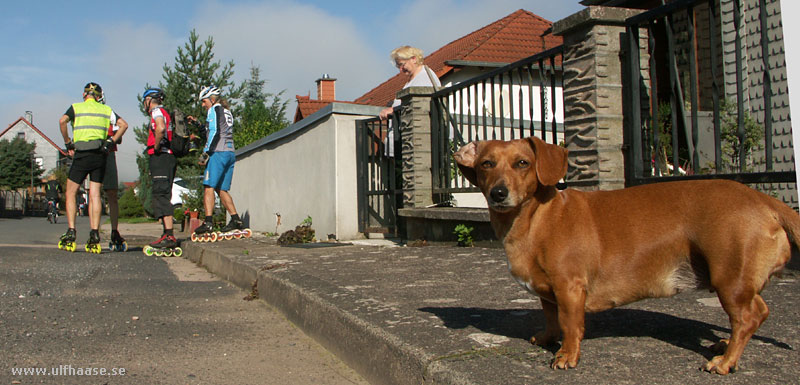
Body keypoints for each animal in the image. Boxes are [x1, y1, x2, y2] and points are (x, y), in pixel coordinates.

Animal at [454, 137, 796, 372]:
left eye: (523, 163)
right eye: (486, 164)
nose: (498, 193)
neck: (537, 217)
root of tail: (762, 199)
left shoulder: (569, 288)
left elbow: (569, 324)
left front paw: (566, 355)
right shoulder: (548, 291)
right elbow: (551, 318)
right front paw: (547, 339)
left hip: (729, 279)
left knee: (747, 318)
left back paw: (725, 362)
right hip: (736, 280)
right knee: (757, 313)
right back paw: (725, 345)